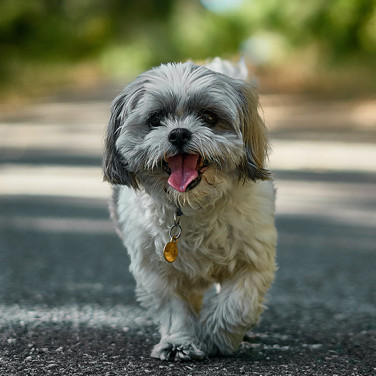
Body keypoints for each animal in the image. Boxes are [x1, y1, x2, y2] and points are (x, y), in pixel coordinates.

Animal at [102, 58, 276, 362]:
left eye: (209, 117)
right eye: (156, 119)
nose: (179, 132)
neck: (192, 206)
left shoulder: (253, 260)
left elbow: (237, 304)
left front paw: (216, 337)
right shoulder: (156, 269)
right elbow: (174, 308)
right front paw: (178, 342)